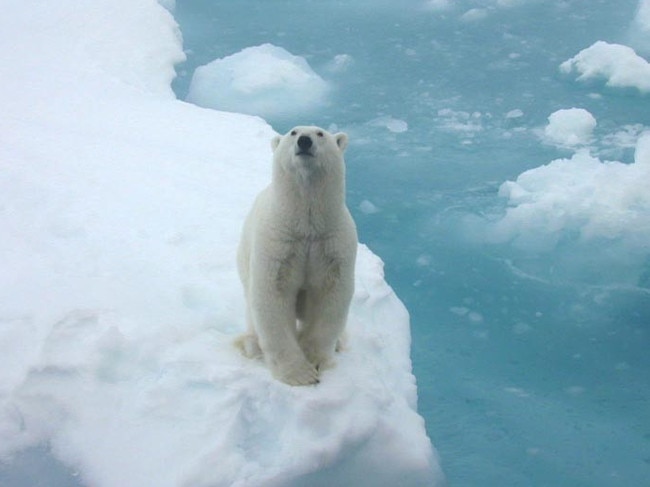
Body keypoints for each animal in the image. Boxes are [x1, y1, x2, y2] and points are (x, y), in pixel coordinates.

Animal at [234, 127, 354, 386]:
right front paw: (300, 374)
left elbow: (330, 296)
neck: (306, 226)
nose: (304, 141)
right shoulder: (278, 242)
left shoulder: (332, 244)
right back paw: (251, 344)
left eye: (320, 133)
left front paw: (315, 361)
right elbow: (273, 295)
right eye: (293, 132)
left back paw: (339, 342)